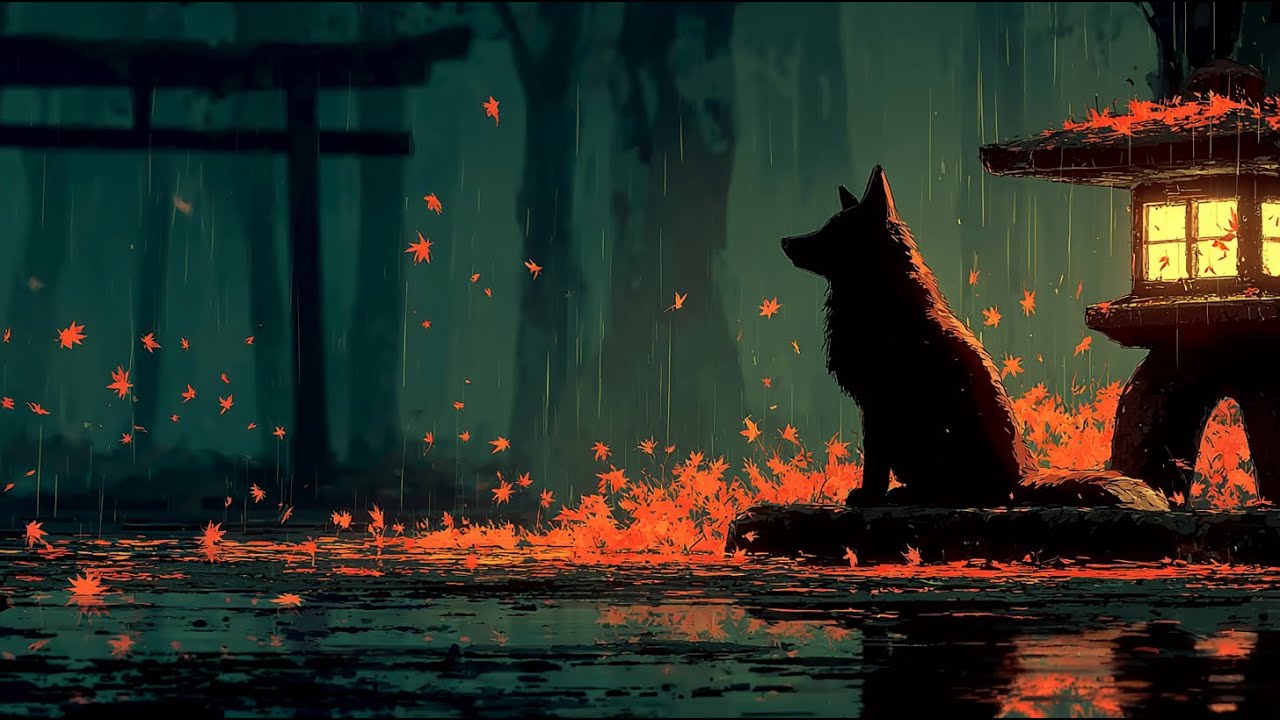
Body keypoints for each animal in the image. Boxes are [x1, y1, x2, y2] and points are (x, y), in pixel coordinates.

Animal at [781, 166, 1167, 511]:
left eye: (833, 231)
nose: (784, 242)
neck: (879, 296)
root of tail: (1018, 481)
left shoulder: (878, 404)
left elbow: (874, 464)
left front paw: (869, 496)